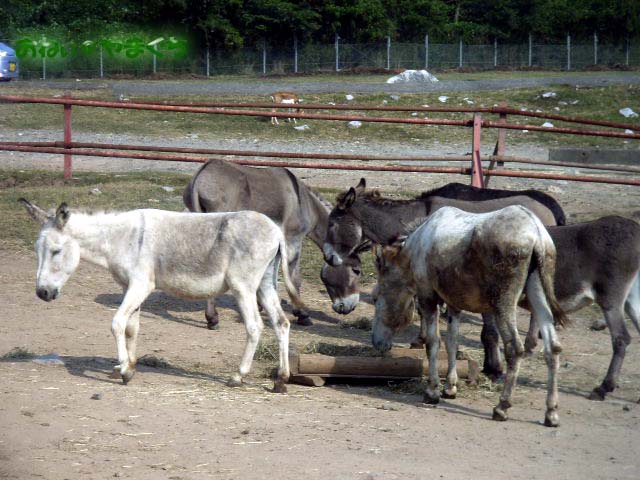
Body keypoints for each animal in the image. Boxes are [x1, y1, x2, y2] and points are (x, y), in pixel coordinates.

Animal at [19, 199, 303, 393]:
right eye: (36, 250)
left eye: (56, 251)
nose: (42, 293)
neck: (121, 238)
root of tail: (276, 231)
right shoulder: (128, 287)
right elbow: (132, 327)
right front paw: (130, 364)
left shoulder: (140, 285)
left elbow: (117, 323)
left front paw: (125, 371)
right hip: (265, 284)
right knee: (281, 323)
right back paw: (281, 379)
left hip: (243, 287)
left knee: (254, 326)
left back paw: (238, 376)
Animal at [184, 160, 365, 326]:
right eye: (356, 271)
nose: (351, 308)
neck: (306, 204)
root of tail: (200, 175)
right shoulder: (293, 239)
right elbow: (293, 276)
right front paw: (302, 314)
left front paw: (262, 305)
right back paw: (212, 317)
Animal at [372, 206, 567, 426]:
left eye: (376, 297)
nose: (376, 342)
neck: (415, 249)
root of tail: (537, 233)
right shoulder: (453, 303)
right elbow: (452, 342)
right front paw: (450, 387)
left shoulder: (427, 297)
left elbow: (433, 342)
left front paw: (432, 391)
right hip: (537, 294)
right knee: (553, 348)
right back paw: (551, 412)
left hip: (504, 303)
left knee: (514, 349)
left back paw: (502, 406)